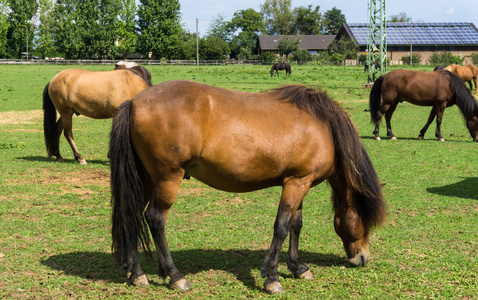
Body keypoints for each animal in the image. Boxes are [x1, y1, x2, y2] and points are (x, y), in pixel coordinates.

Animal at [107, 79, 384, 292]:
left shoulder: (300, 181)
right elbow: (282, 227)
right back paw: (175, 276)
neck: (324, 127)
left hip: (145, 179)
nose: (363, 258)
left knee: (132, 215)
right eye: (366, 220)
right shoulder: (295, 184)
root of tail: (134, 102)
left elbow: (296, 225)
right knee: (155, 219)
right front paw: (272, 278)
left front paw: (298, 268)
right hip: (168, 179)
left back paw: (137, 274)